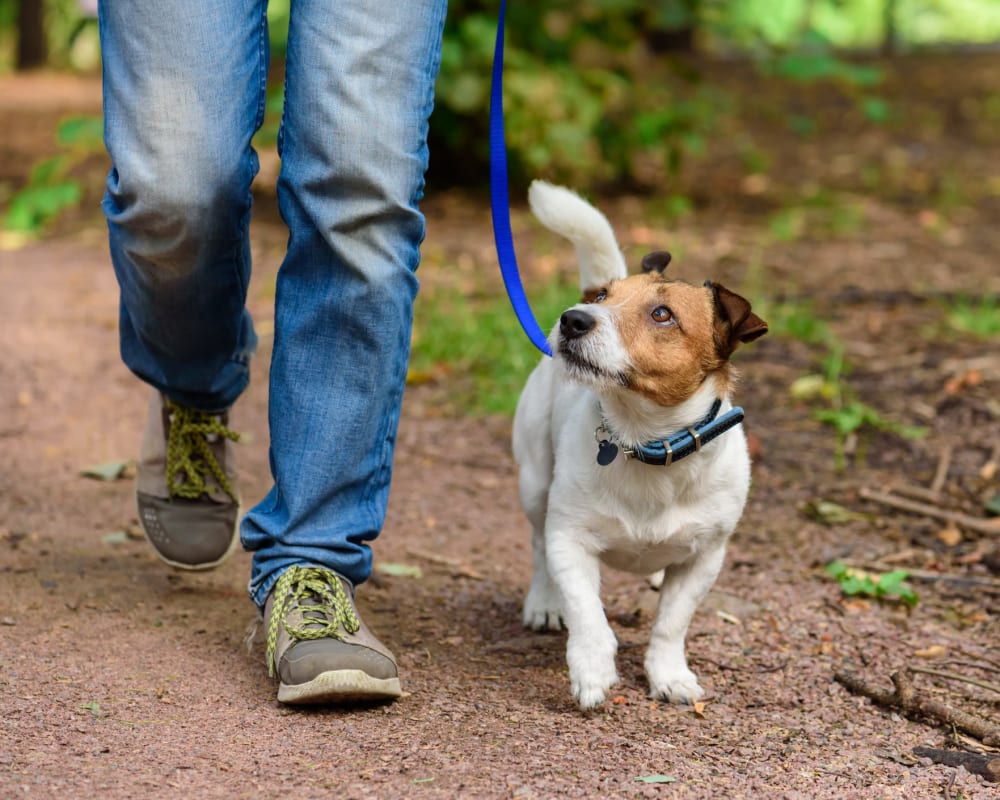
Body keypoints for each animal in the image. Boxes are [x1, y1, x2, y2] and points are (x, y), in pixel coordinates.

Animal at [512, 180, 768, 708]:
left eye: (662, 314)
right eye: (604, 296)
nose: (572, 318)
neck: (644, 441)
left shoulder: (704, 559)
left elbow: (672, 623)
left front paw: (669, 674)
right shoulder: (570, 540)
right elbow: (587, 612)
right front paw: (592, 669)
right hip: (534, 481)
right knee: (538, 545)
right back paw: (544, 602)